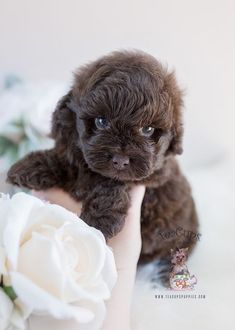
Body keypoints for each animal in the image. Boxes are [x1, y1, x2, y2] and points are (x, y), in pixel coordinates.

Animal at [7, 51, 198, 262]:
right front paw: (30, 166)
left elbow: (113, 182)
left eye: (148, 129)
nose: (120, 160)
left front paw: (97, 223)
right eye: (101, 121)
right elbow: (66, 159)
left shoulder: (152, 177)